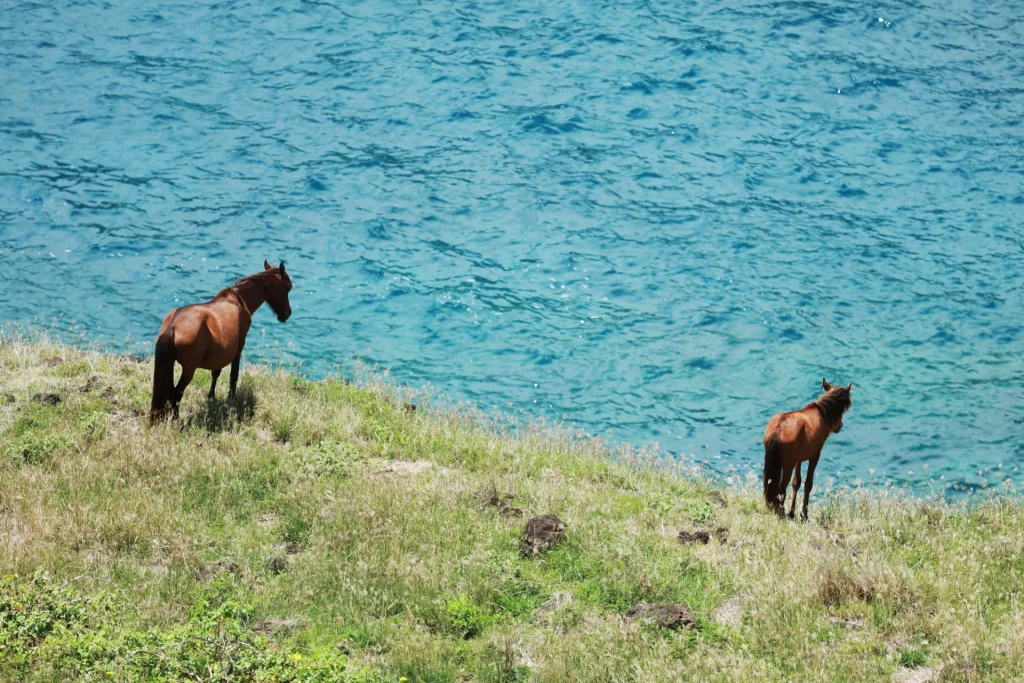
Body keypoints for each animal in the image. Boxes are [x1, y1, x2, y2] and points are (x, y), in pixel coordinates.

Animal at [149, 260, 292, 421]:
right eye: (287, 287)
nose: (287, 314)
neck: (238, 300)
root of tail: (173, 326)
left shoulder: (220, 353)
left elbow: (215, 373)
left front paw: (211, 396)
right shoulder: (238, 347)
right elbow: (233, 375)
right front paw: (232, 398)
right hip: (189, 369)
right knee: (176, 394)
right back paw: (177, 420)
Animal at [765, 382, 851, 520]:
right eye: (842, 408)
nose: (840, 426)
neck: (821, 414)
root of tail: (778, 429)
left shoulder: (798, 459)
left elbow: (796, 482)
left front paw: (792, 513)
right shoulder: (815, 455)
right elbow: (808, 484)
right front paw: (804, 515)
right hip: (788, 464)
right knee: (781, 489)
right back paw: (781, 512)